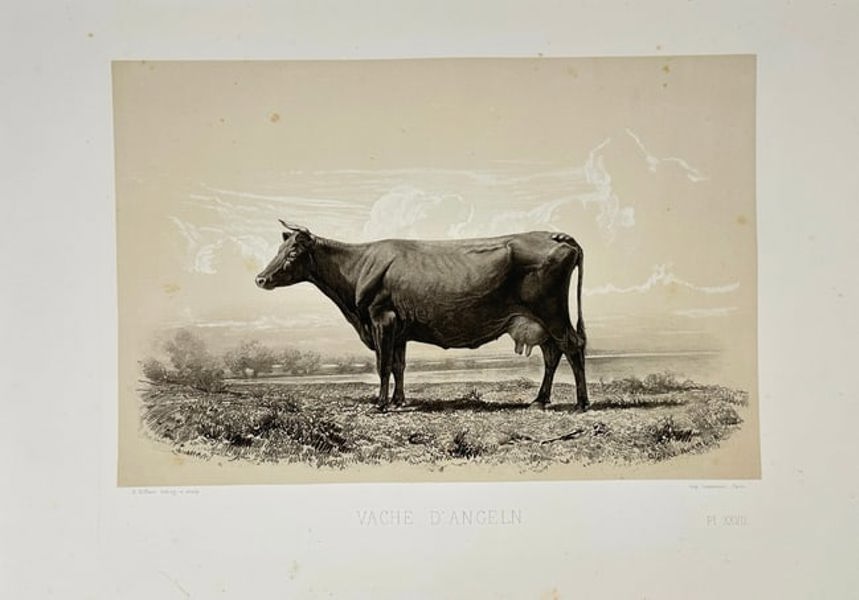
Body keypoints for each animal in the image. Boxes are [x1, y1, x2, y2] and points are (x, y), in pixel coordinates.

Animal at [255, 220, 588, 411]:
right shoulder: (399, 328)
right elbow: (398, 365)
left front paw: (381, 405)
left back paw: (581, 403)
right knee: (552, 354)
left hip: (552, 313)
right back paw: (539, 400)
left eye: (293, 253)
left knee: (572, 347)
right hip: (541, 322)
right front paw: (399, 401)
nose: (260, 279)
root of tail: (557, 236)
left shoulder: (382, 318)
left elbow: (383, 365)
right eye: (278, 249)